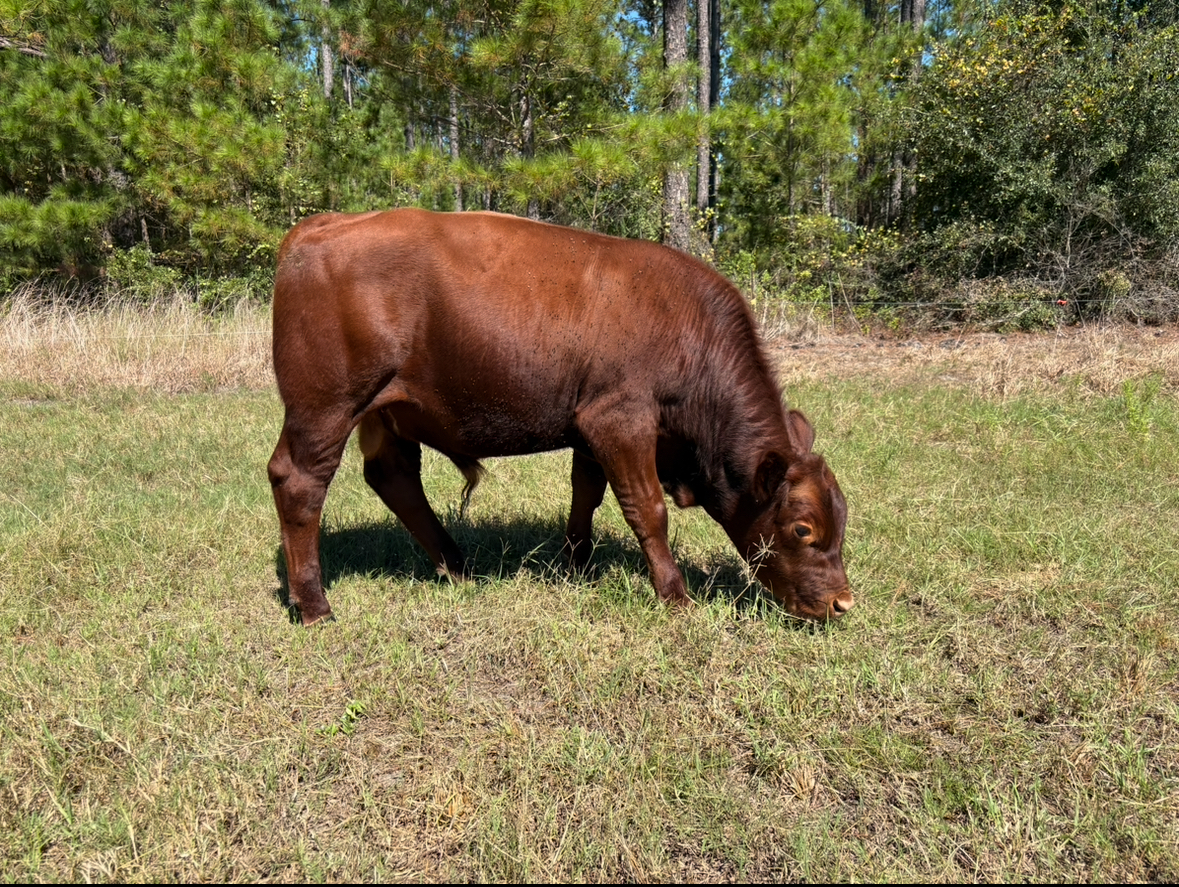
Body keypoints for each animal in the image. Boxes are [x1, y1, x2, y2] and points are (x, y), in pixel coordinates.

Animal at [267, 209, 853, 625]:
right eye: (802, 529)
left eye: (842, 519)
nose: (842, 603)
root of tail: (321, 225)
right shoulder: (620, 419)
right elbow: (648, 508)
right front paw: (676, 597)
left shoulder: (589, 429)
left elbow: (585, 495)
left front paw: (576, 565)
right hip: (325, 407)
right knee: (299, 482)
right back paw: (316, 606)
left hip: (385, 412)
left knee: (394, 479)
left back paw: (457, 568)